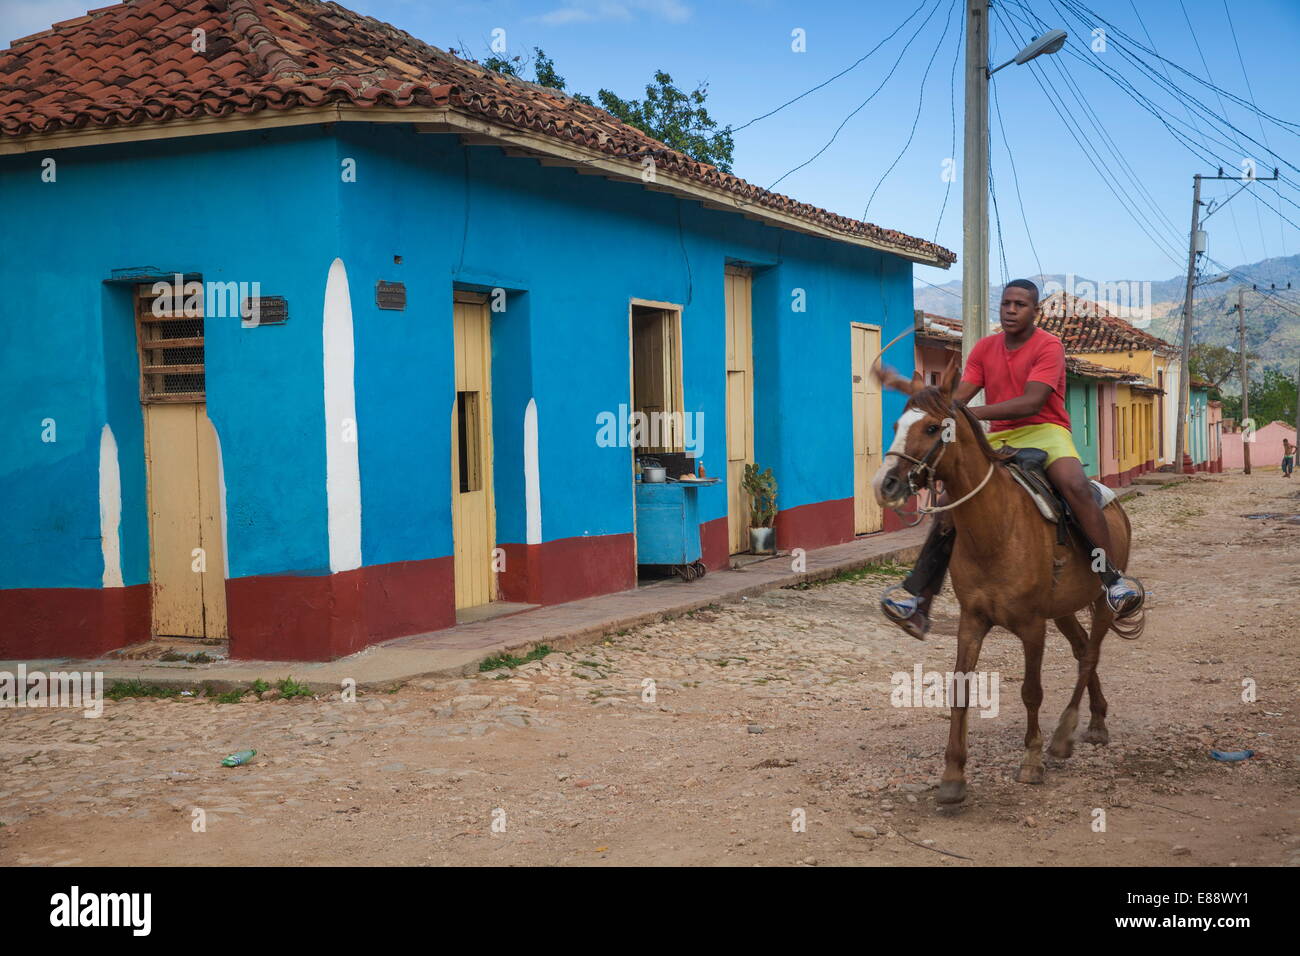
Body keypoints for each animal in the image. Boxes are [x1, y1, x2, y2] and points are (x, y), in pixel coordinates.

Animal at [868, 361, 1144, 806]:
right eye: (896, 424)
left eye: (932, 427)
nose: (885, 485)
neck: (994, 528)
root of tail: (1112, 501)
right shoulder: (972, 620)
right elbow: (960, 689)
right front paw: (952, 775)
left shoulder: (1032, 626)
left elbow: (1031, 691)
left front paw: (1031, 759)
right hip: (1062, 608)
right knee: (1083, 647)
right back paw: (1097, 720)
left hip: (1101, 601)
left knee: (1090, 655)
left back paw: (1064, 734)